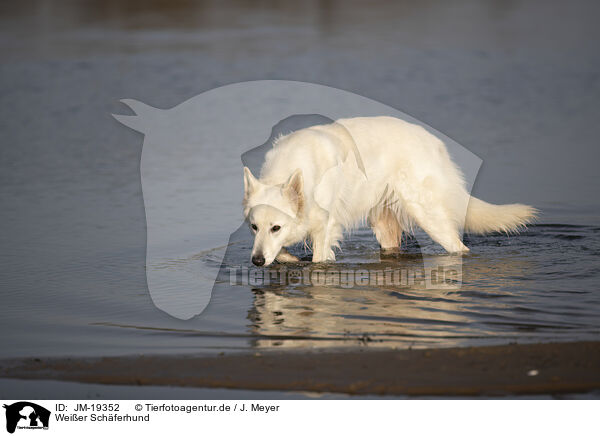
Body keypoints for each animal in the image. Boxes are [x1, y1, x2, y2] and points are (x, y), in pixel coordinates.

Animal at [241, 116, 536, 266]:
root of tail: (435, 142)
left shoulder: (325, 228)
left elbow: (316, 260)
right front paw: (288, 258)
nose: (256, 261)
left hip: (429, 218)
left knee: (459, 247)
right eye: (254, 228)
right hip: (383, 224)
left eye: (275, 227)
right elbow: (283, 253)